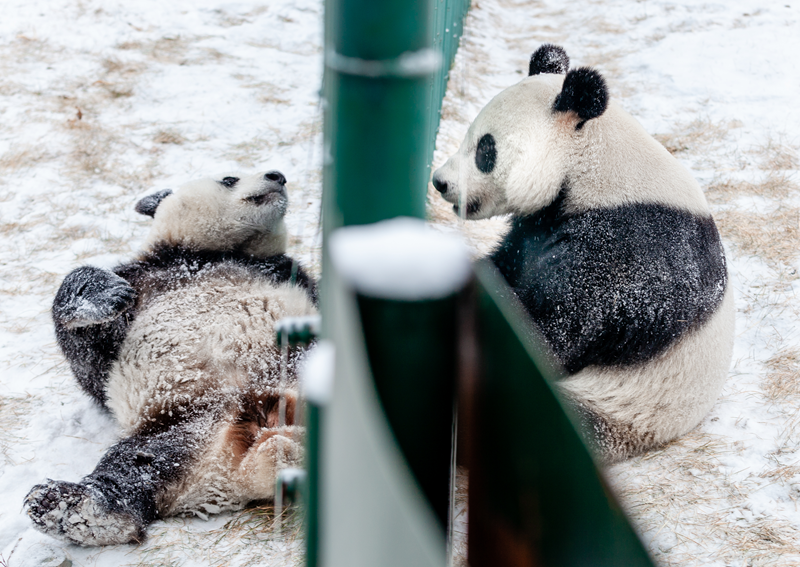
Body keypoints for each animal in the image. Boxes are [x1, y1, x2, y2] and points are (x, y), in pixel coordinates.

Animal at [22, 170, 316, 544]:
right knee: (136, 466)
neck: (201, 255)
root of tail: (233, 474)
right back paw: (71, 506)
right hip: (183, 425)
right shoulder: (142, 280)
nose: (277, 176)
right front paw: (106, 295)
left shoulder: (286, 273)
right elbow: (89, 360)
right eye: (229, 178)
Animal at [434, 44, 736, 462]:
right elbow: (508, 264)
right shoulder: (537, 224)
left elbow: (551, 331)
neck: (592, 167)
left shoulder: (627, 251)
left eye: (485, 149)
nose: (440, 182)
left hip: (621, 407)